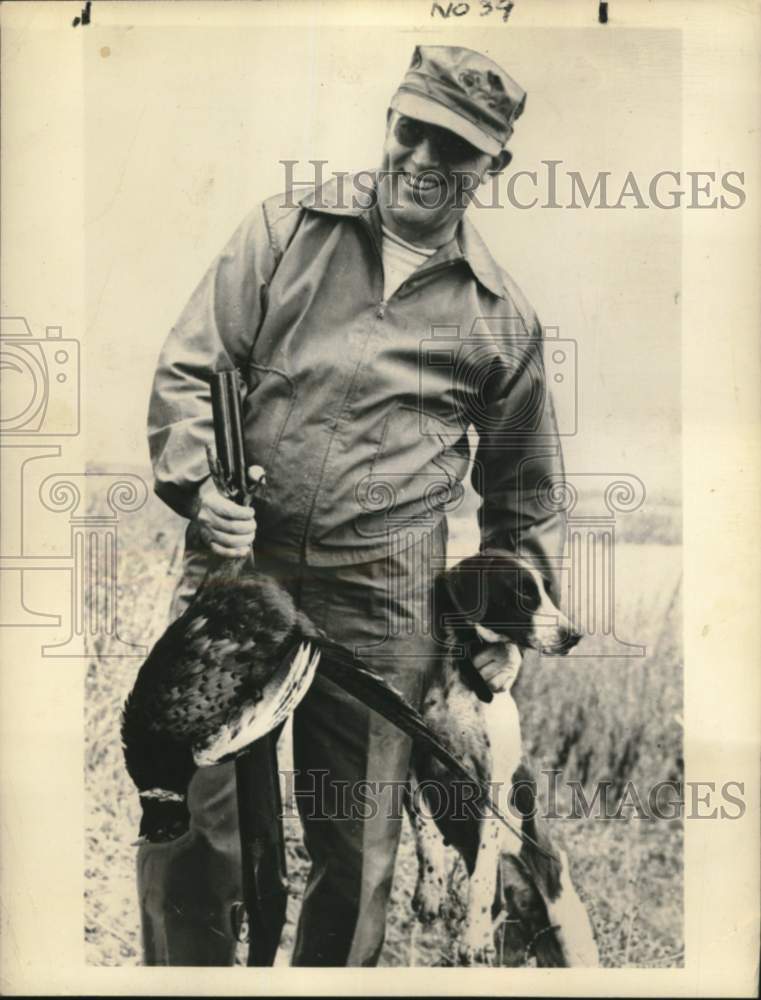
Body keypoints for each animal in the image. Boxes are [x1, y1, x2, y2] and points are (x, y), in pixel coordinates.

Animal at [404, 552, 600, 964]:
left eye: (546, 590)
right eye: (524, 594)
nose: (574, 635)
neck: (462, 680)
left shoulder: (492, 789)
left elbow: (480, 876)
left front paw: (473, 935)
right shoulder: (414, 754)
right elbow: (425, 829)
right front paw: (431, 886)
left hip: (573, 939)